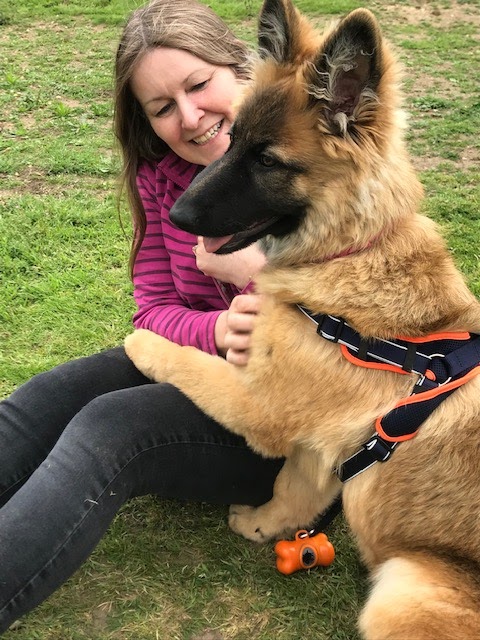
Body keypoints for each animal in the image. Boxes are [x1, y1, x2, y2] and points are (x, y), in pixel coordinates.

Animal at [125, 0, 480, 636]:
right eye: (231, 139)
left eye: (267, 160)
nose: (177, 215)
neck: (349, 253)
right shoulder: (319, 449)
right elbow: (293, 491)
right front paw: (265, 525)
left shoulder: (257, 404)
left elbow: (187, 362)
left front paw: (143, 342)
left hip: (404, 590)